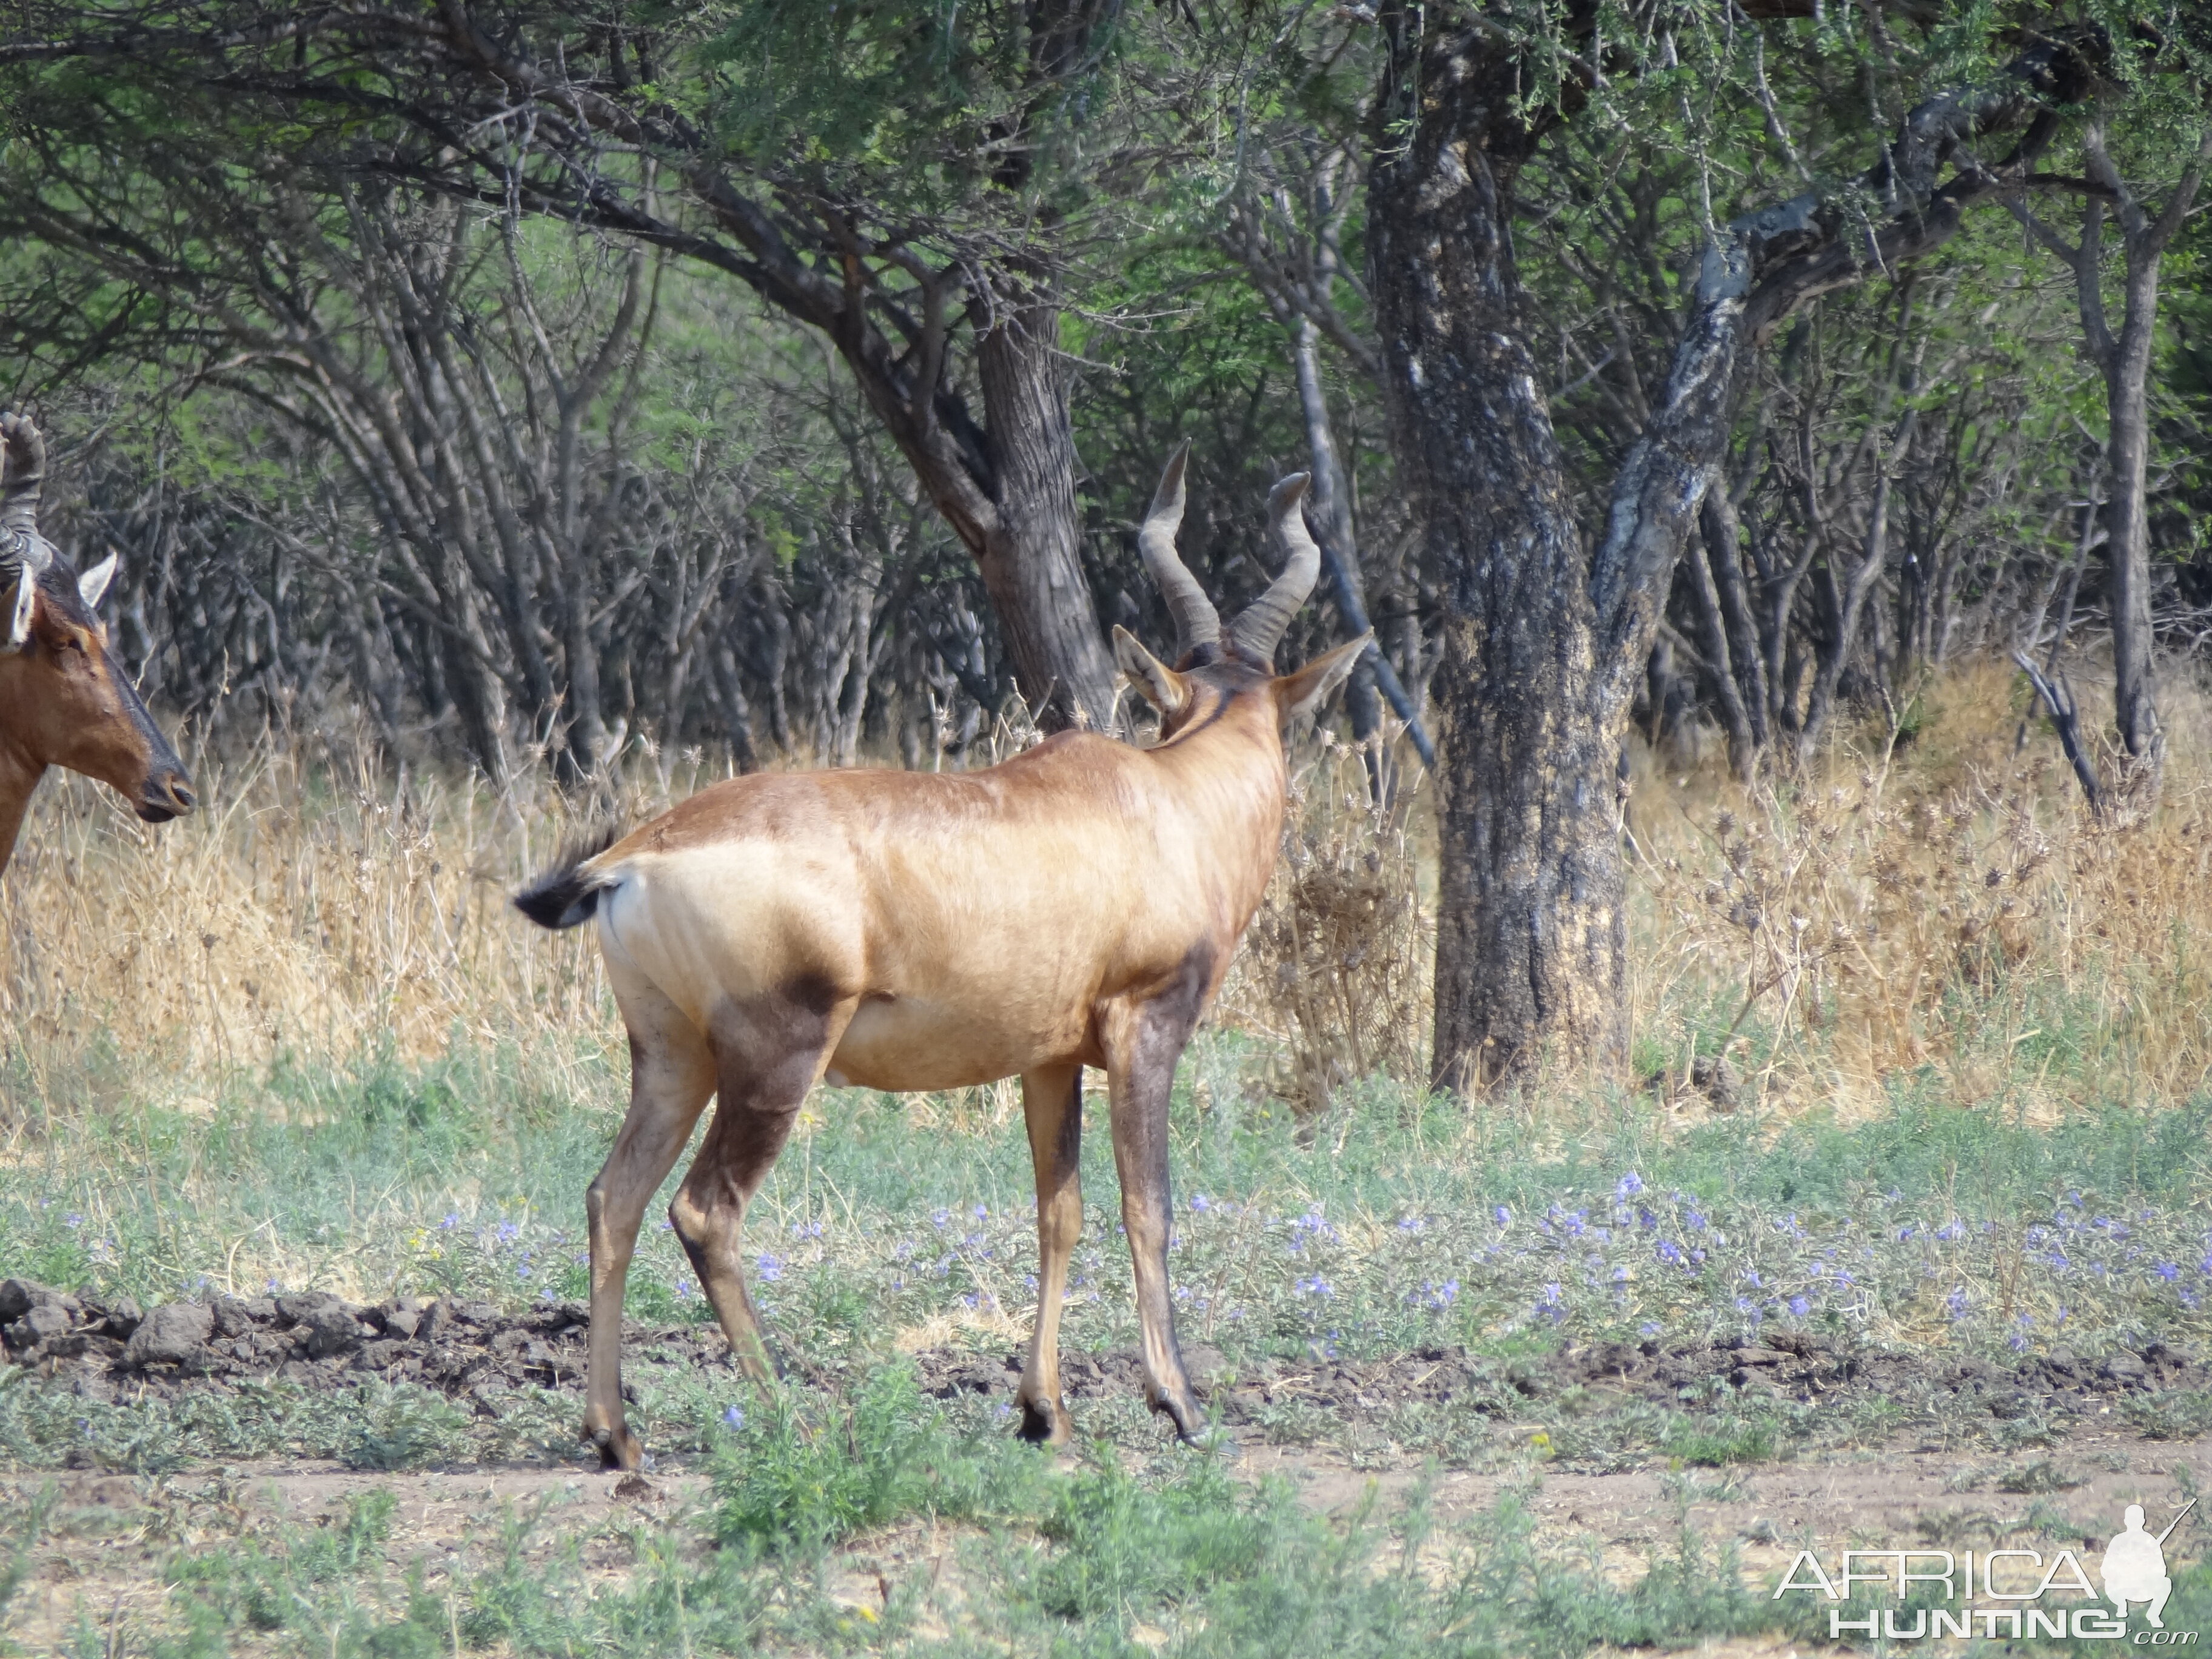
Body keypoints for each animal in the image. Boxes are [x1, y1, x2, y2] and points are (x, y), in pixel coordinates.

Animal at [521, 449, 1362, 1477]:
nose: (1178, 1406)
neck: (1165, 800)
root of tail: (633, 852)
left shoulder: (1050, 1060)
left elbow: (1059, 1211)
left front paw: (1045, 1412)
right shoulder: (1145, 1029)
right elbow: (1148, 1206)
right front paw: (1181, 1406)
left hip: (672, 1056)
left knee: (615, 1198)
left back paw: (614, 1434)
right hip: (775, 1057)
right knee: (705, 1210)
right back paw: (793, 1418)